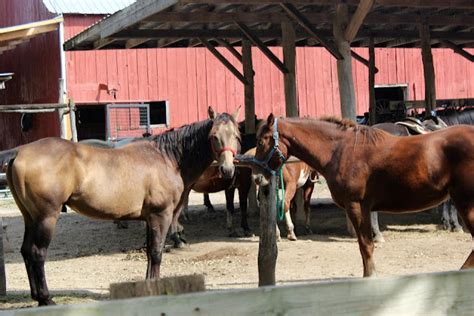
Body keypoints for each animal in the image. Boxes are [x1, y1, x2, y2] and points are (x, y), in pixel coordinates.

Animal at [0, 107, 241, 306]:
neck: (167, 158)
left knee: (26, 251)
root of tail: (19, 152)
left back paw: (36, 296)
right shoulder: (160, 216)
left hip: (30, 217)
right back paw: (46, 298)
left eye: (236, 135)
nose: (228, 170)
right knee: (38, 253)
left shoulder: (149, 219)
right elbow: (156, 253)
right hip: (46, 217)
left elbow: (150, 252)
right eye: (214, 136)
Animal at [256, 113, 474, 276]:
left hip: (466, 203)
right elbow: (365, 246)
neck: (342, 150)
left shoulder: (356, 206)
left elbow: (365, 245)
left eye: (262, 140)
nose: (258, 177)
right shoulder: (365, 208)